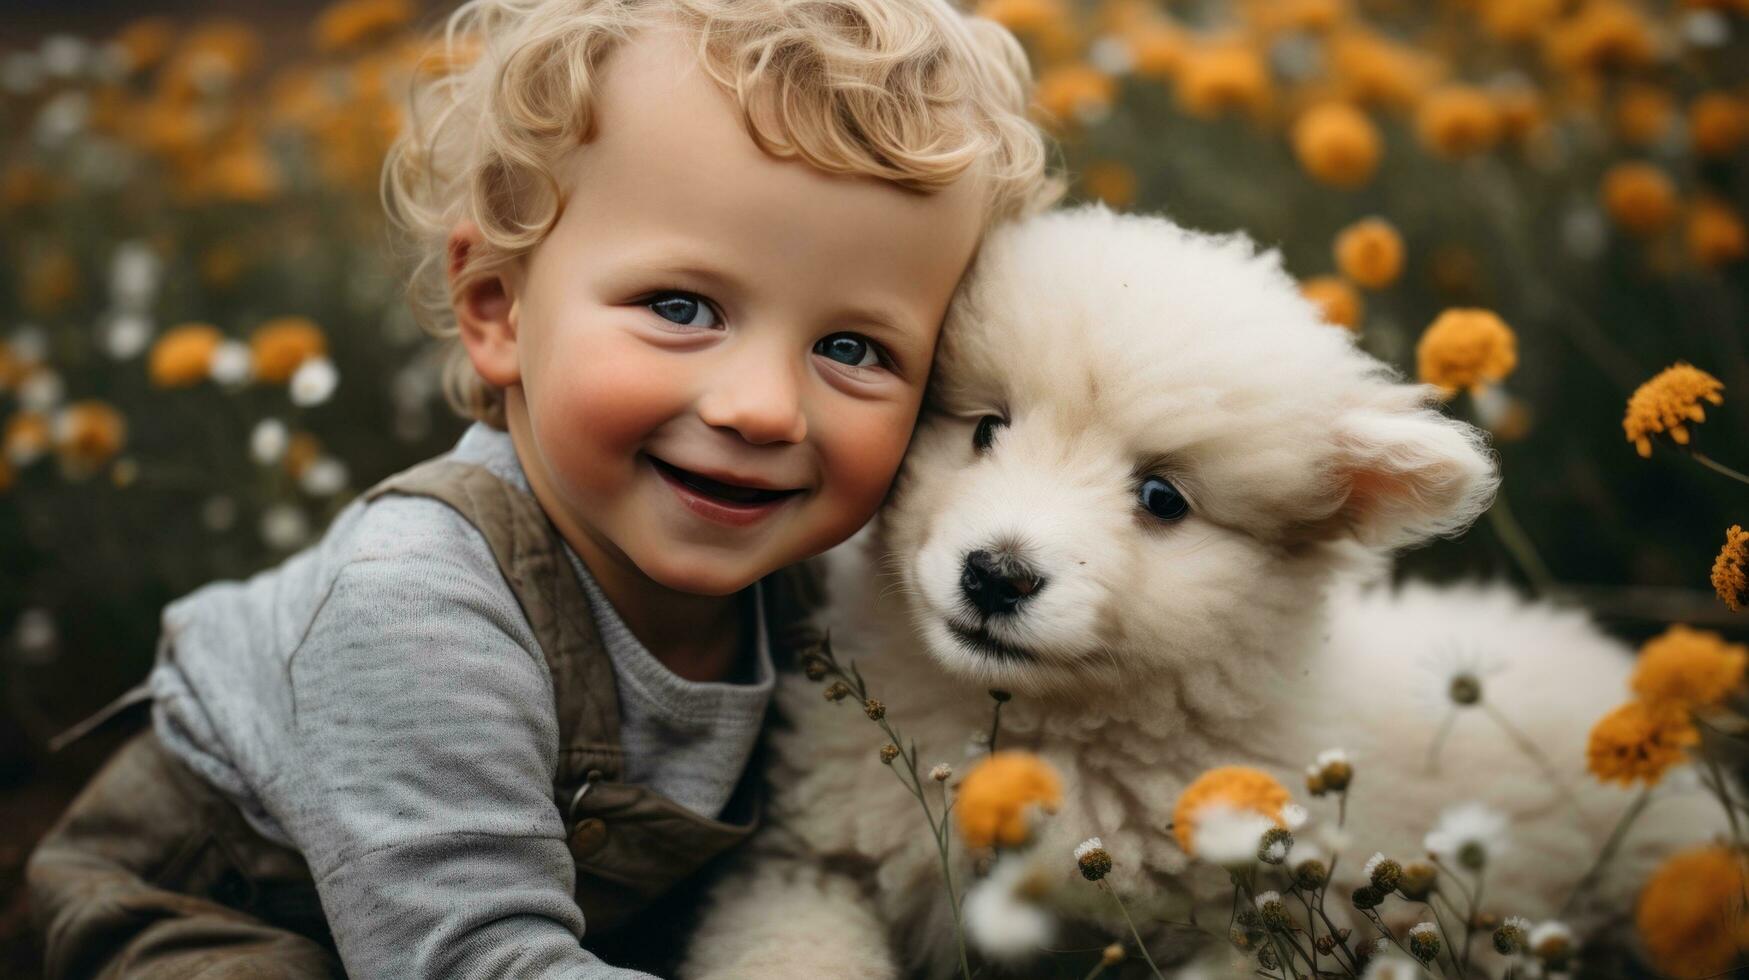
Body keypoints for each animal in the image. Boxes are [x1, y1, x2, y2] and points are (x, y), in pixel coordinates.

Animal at [678, 208, 1721, 980]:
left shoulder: (1259, 926)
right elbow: (791, 950)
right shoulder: (809, 864)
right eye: (984, 429)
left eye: (1161, 500)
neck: (1054, 729)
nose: (996, 574)